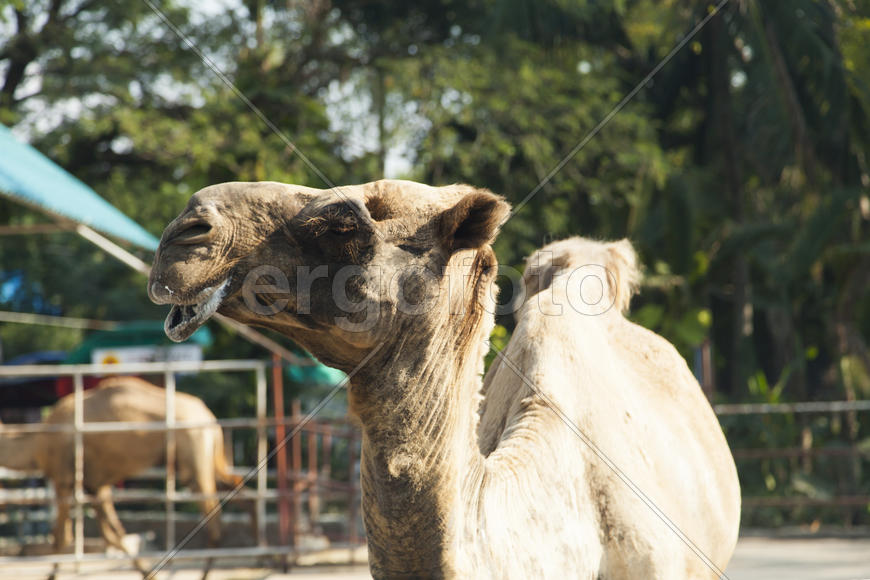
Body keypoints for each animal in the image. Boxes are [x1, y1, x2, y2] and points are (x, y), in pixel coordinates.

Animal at [0, 376, 245, 572]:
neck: (35, 443)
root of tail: (210, 417)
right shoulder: (94, 485)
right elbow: (115, 535)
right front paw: (147, 573)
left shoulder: (64, 478)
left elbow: (62, 538)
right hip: (206, 459)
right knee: (239, 487)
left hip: (193, 454)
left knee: (214, 522)